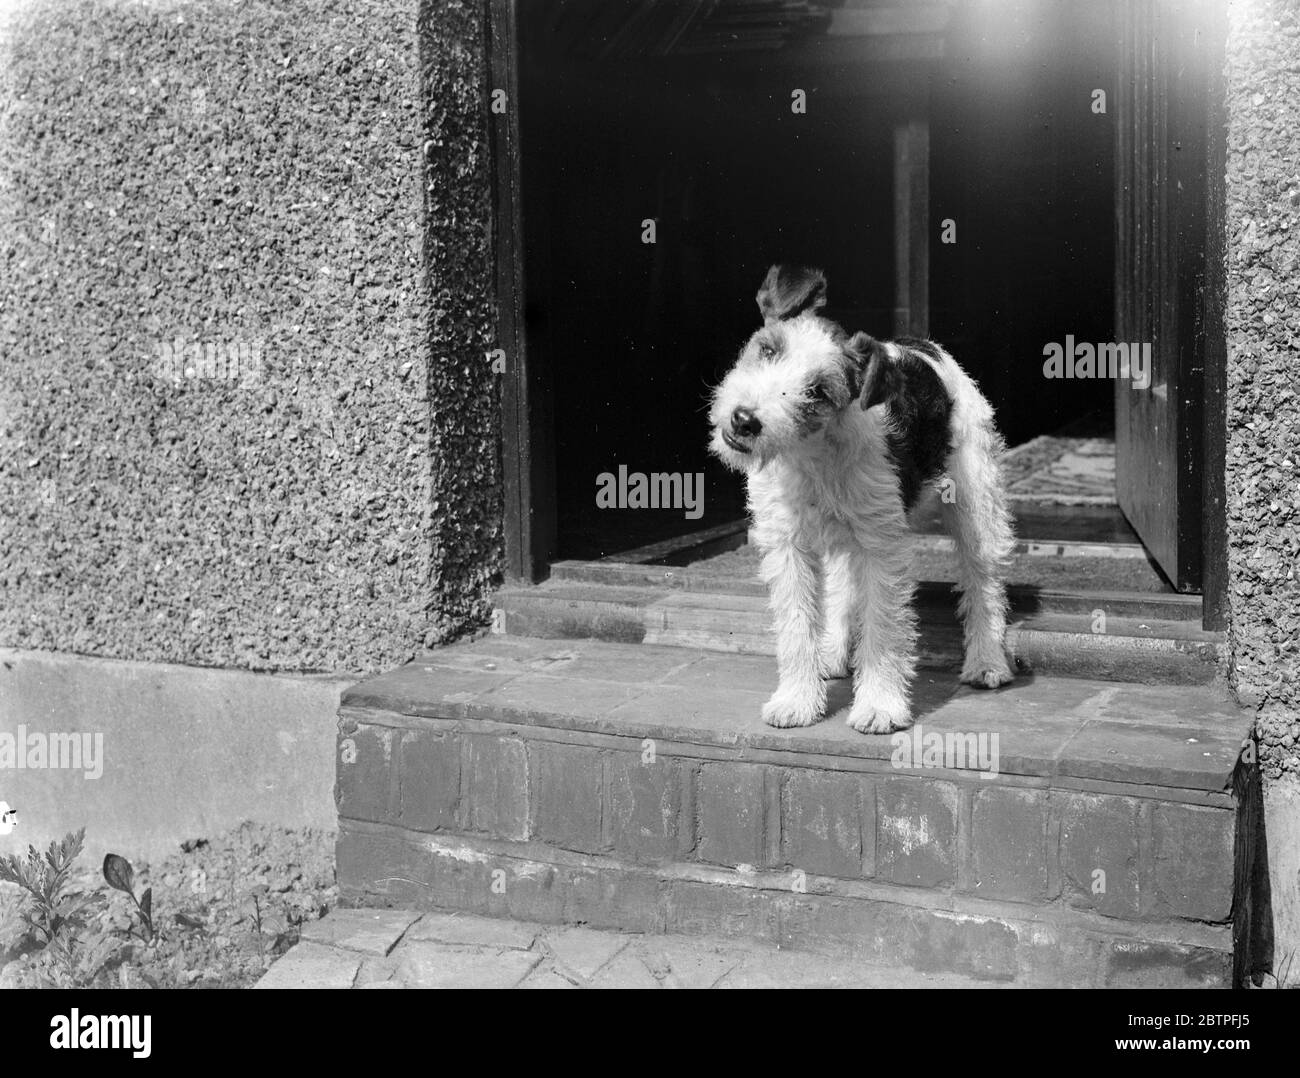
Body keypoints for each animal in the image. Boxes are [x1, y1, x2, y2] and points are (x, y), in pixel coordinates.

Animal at [712, 265, 1013, 733]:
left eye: (818, 391)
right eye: (768, 349)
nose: (745, 420)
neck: (813, 451)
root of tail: (925, 346)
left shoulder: (881, 548)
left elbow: (883, 626)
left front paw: (879, 706)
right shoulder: (787, 544)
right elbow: (797, 624)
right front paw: (797, 701)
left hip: (976, 504)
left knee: (984, 583)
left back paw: (986, 662)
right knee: (840, 585)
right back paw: (832, 653)